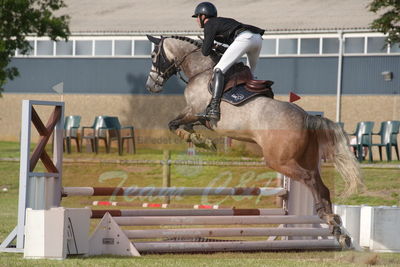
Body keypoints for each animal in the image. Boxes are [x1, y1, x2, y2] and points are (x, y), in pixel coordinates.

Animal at [145, 34, 364, 229]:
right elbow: (181, 125)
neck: (201, 70)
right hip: (306, 157)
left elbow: (173, 124)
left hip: (279, 160)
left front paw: (202, 141)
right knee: (320, 185)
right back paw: (334, 226)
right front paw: (200, 139)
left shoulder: (194, 111)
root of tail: (306, 117)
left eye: (154, 55)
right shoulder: (194, 114)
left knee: (309, 179)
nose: (150, 86)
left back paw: (328, 219)